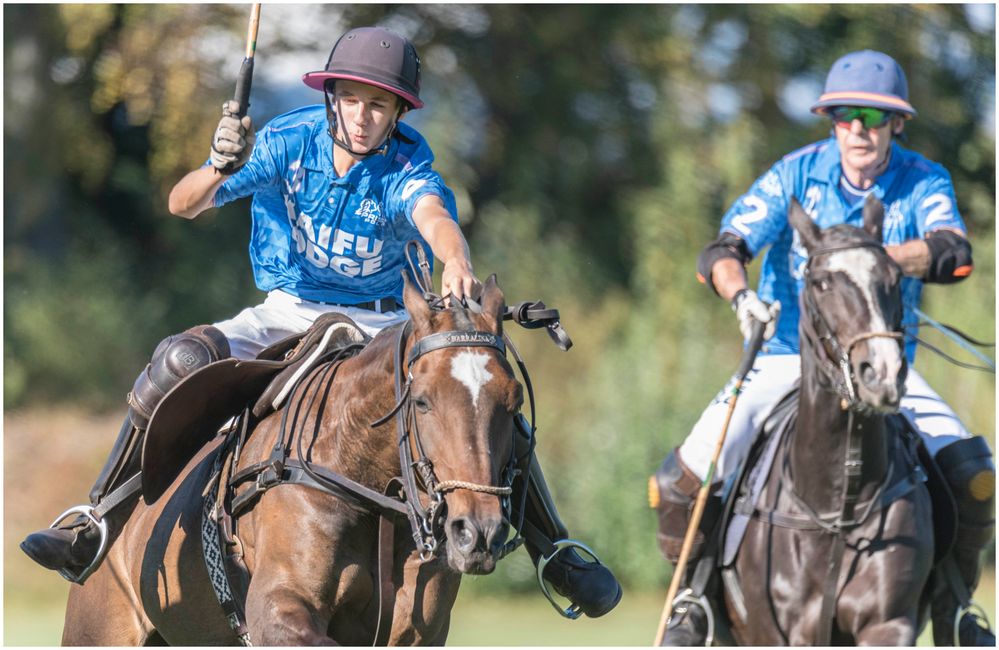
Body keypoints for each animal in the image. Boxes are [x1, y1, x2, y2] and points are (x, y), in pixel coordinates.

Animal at [61, 274, 528, 644]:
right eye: (422, 401)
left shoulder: (417, 628)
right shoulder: (277, 605)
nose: (477, 532)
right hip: (96, 628)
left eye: (514, 402)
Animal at [720, 196, 936, 644]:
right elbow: (728, 245)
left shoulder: (888, 623)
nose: (882, 373)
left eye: (894, 277)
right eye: (821, 283)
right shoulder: (774, 631)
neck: (838, 502)